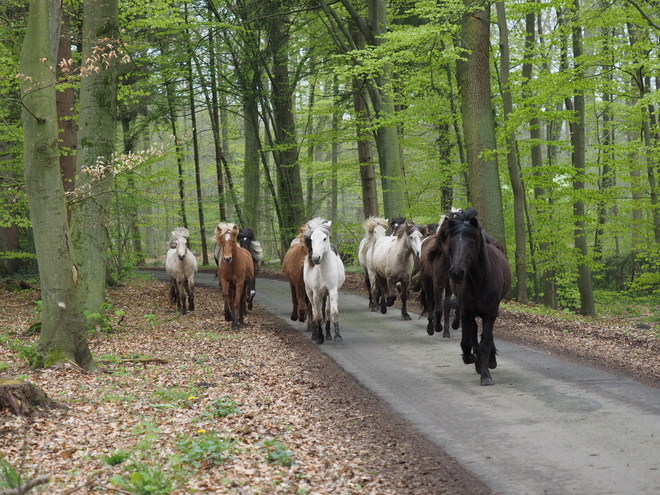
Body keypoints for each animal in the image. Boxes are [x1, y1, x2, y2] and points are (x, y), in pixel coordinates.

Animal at [446, 207, 512, 386]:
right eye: (452, 243)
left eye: (472, 243)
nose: (457, 273)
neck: (479, 281)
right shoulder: (466, 312)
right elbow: (466, 341)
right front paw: (472, 359)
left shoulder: (490, 313)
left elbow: (486, 341)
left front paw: (486, 373)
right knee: (473, 333)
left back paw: (489, 360)